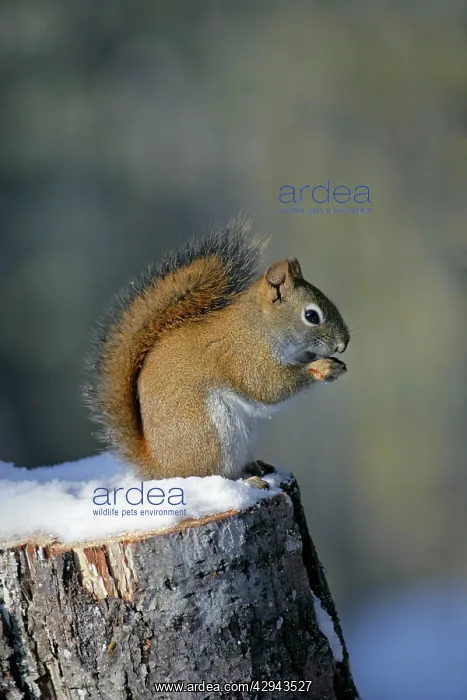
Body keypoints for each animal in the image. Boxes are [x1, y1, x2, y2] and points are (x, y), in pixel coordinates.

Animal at [84, 217, 350, 486]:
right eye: (311, 316)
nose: (343, 344)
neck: (259, 325)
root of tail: (159, 468)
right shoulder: (243, 355)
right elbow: (267, 386)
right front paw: (322, 367)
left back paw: (256, 467)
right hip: (209, 432)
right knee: (210, 473)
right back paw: (248, 480)